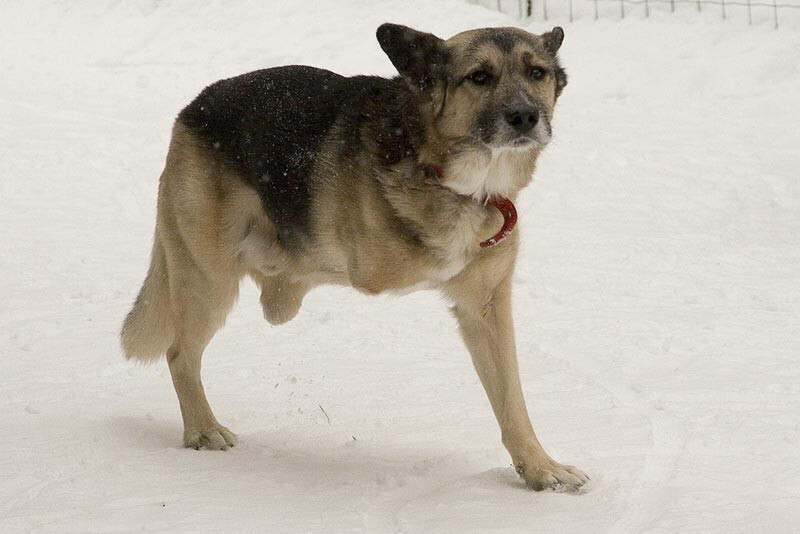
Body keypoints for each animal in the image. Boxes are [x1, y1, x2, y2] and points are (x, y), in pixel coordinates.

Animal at [120, 25, 588, 494]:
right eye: (479, 77)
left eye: (537, 72)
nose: (524, 116)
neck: (447, 172)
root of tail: (193, 106)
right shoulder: (377, 267)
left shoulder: (485, 306)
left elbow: (511, 399)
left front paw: (539, 468)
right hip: (209, 279)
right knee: (181, 353)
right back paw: (202, 428)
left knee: (266, 302)